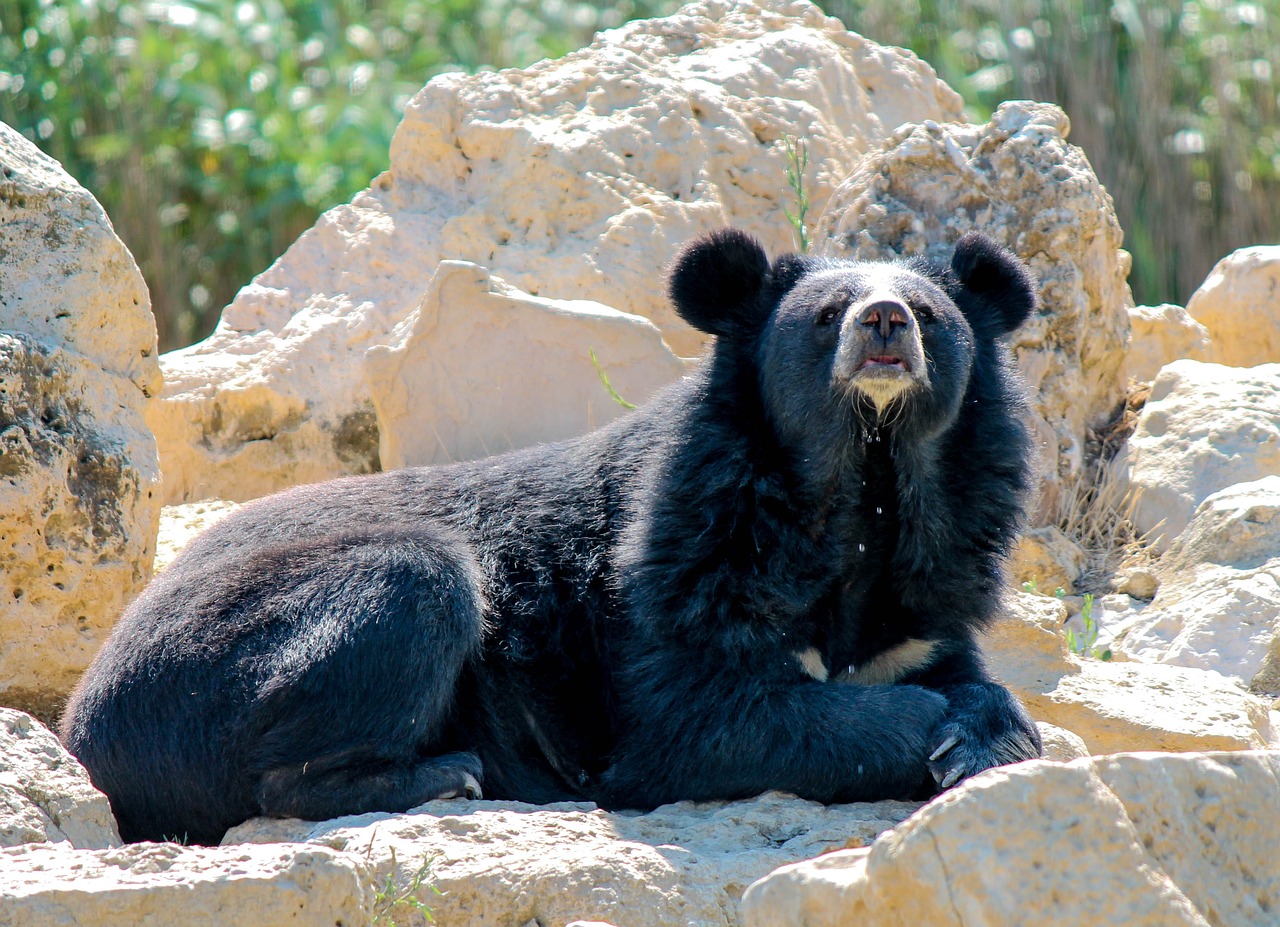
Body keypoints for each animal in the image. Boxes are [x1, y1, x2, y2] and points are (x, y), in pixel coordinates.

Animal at [57, 227, 1039, 845]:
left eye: (931, 313)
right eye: (827, 313)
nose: (885, 321)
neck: (861, 489)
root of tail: (83, 726)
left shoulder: (925, 596)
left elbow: (958, 673)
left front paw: (987, 732)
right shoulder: (685, 572)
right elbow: (709, 719)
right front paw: (928, 731)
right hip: (221, 661)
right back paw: (446, 773)